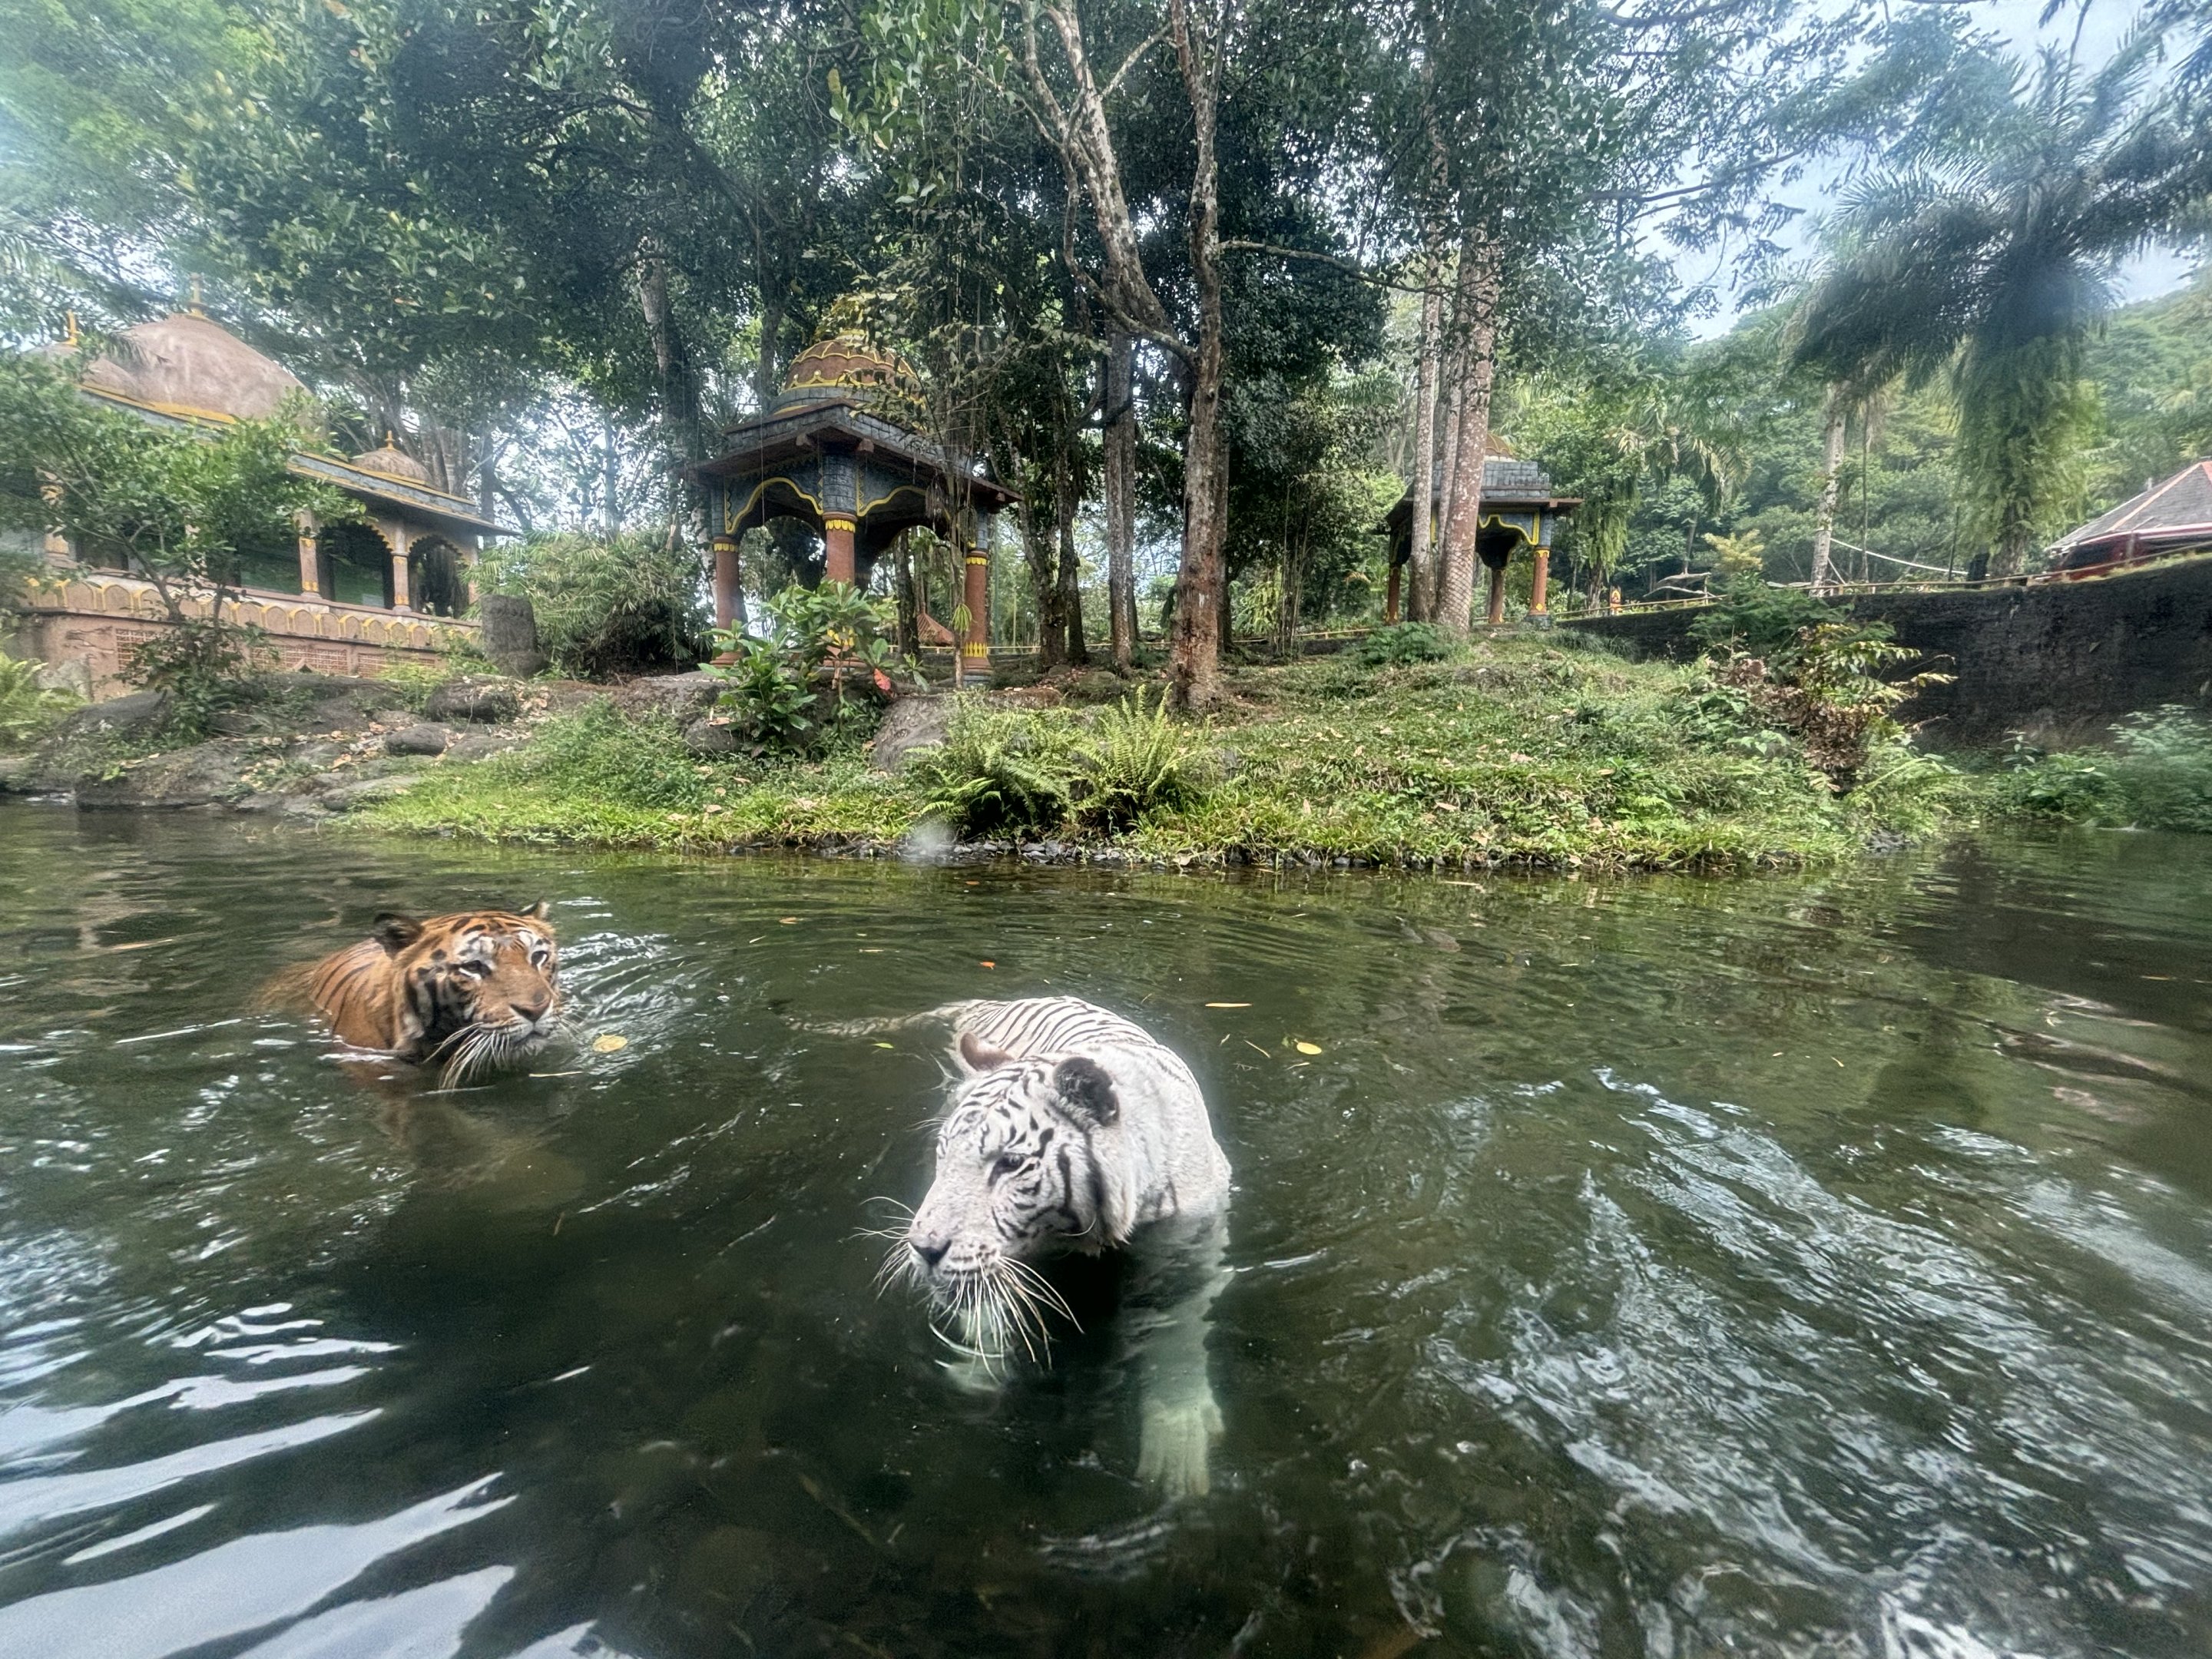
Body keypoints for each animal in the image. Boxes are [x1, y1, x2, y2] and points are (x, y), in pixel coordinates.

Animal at [835, 996, 1233, 1497]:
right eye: (944, 1152)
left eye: (1009, 1164)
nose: (923, 1248)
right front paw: (977, 1368)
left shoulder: (1189, 1253)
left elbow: (1177, 1341)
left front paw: (1176, 1443)